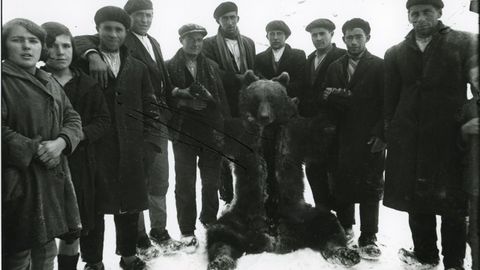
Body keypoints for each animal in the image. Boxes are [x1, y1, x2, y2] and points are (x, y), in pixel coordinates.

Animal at [206, 70, 360, 268]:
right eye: (257, 98)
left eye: (272, 99)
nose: (264, 116)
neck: (268, 130)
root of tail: (274, 239)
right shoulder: (243, 135)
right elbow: (218, 133)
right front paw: (205, 99)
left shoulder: (294, 134)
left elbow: (320, 132)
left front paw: (336, 96)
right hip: (243, 215)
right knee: (221, 234)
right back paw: (220, 260)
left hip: (299, 213)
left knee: (328, 224)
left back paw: (345, 253)